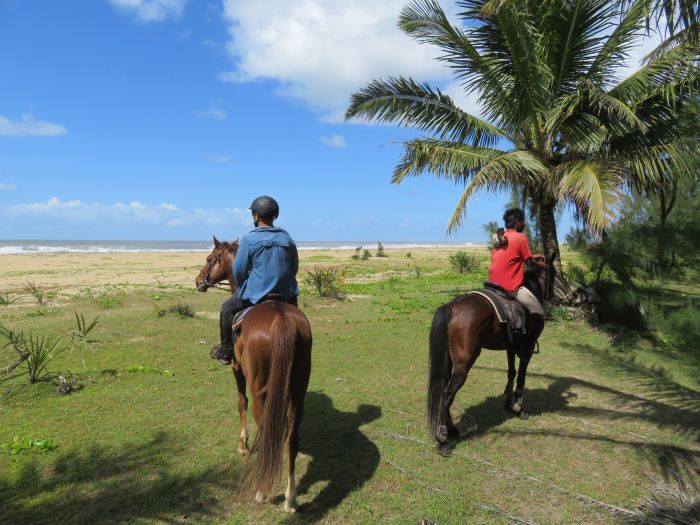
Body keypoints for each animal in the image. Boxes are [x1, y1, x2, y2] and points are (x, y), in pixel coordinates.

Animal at [194, 237, 308, 512]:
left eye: (209, 258)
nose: (198, 280)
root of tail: (282, 321)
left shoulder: (236, 369)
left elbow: (240, 402)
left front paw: (243, 445)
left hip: (260, 388)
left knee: (266, 428)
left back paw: (263, 491)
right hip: (298, 390)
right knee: (291, 438)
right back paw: (290, 497)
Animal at [426, 258, 552, 454]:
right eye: (557, 274)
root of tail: (452, 306)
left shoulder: (510, 347)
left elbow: (511, 372)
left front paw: (508, 401)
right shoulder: (528, 349)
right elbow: (522, 378)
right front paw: (518, 408)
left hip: (448, 362)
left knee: (443, 391)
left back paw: (452, 430)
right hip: (464, 364)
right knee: (448, 394)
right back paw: (444, 439)